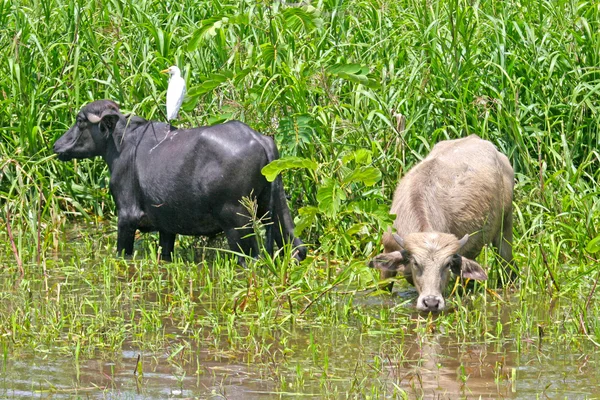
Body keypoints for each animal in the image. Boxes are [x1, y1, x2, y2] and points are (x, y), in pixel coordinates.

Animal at [54, 99, 308, 262]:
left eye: (80, 121)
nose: (57, 145)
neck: (121, 144)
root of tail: (259, 139)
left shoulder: (126, 217)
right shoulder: (166, 227)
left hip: (238, 221)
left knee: (251, 258)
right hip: (277, 209)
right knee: (296, 247)